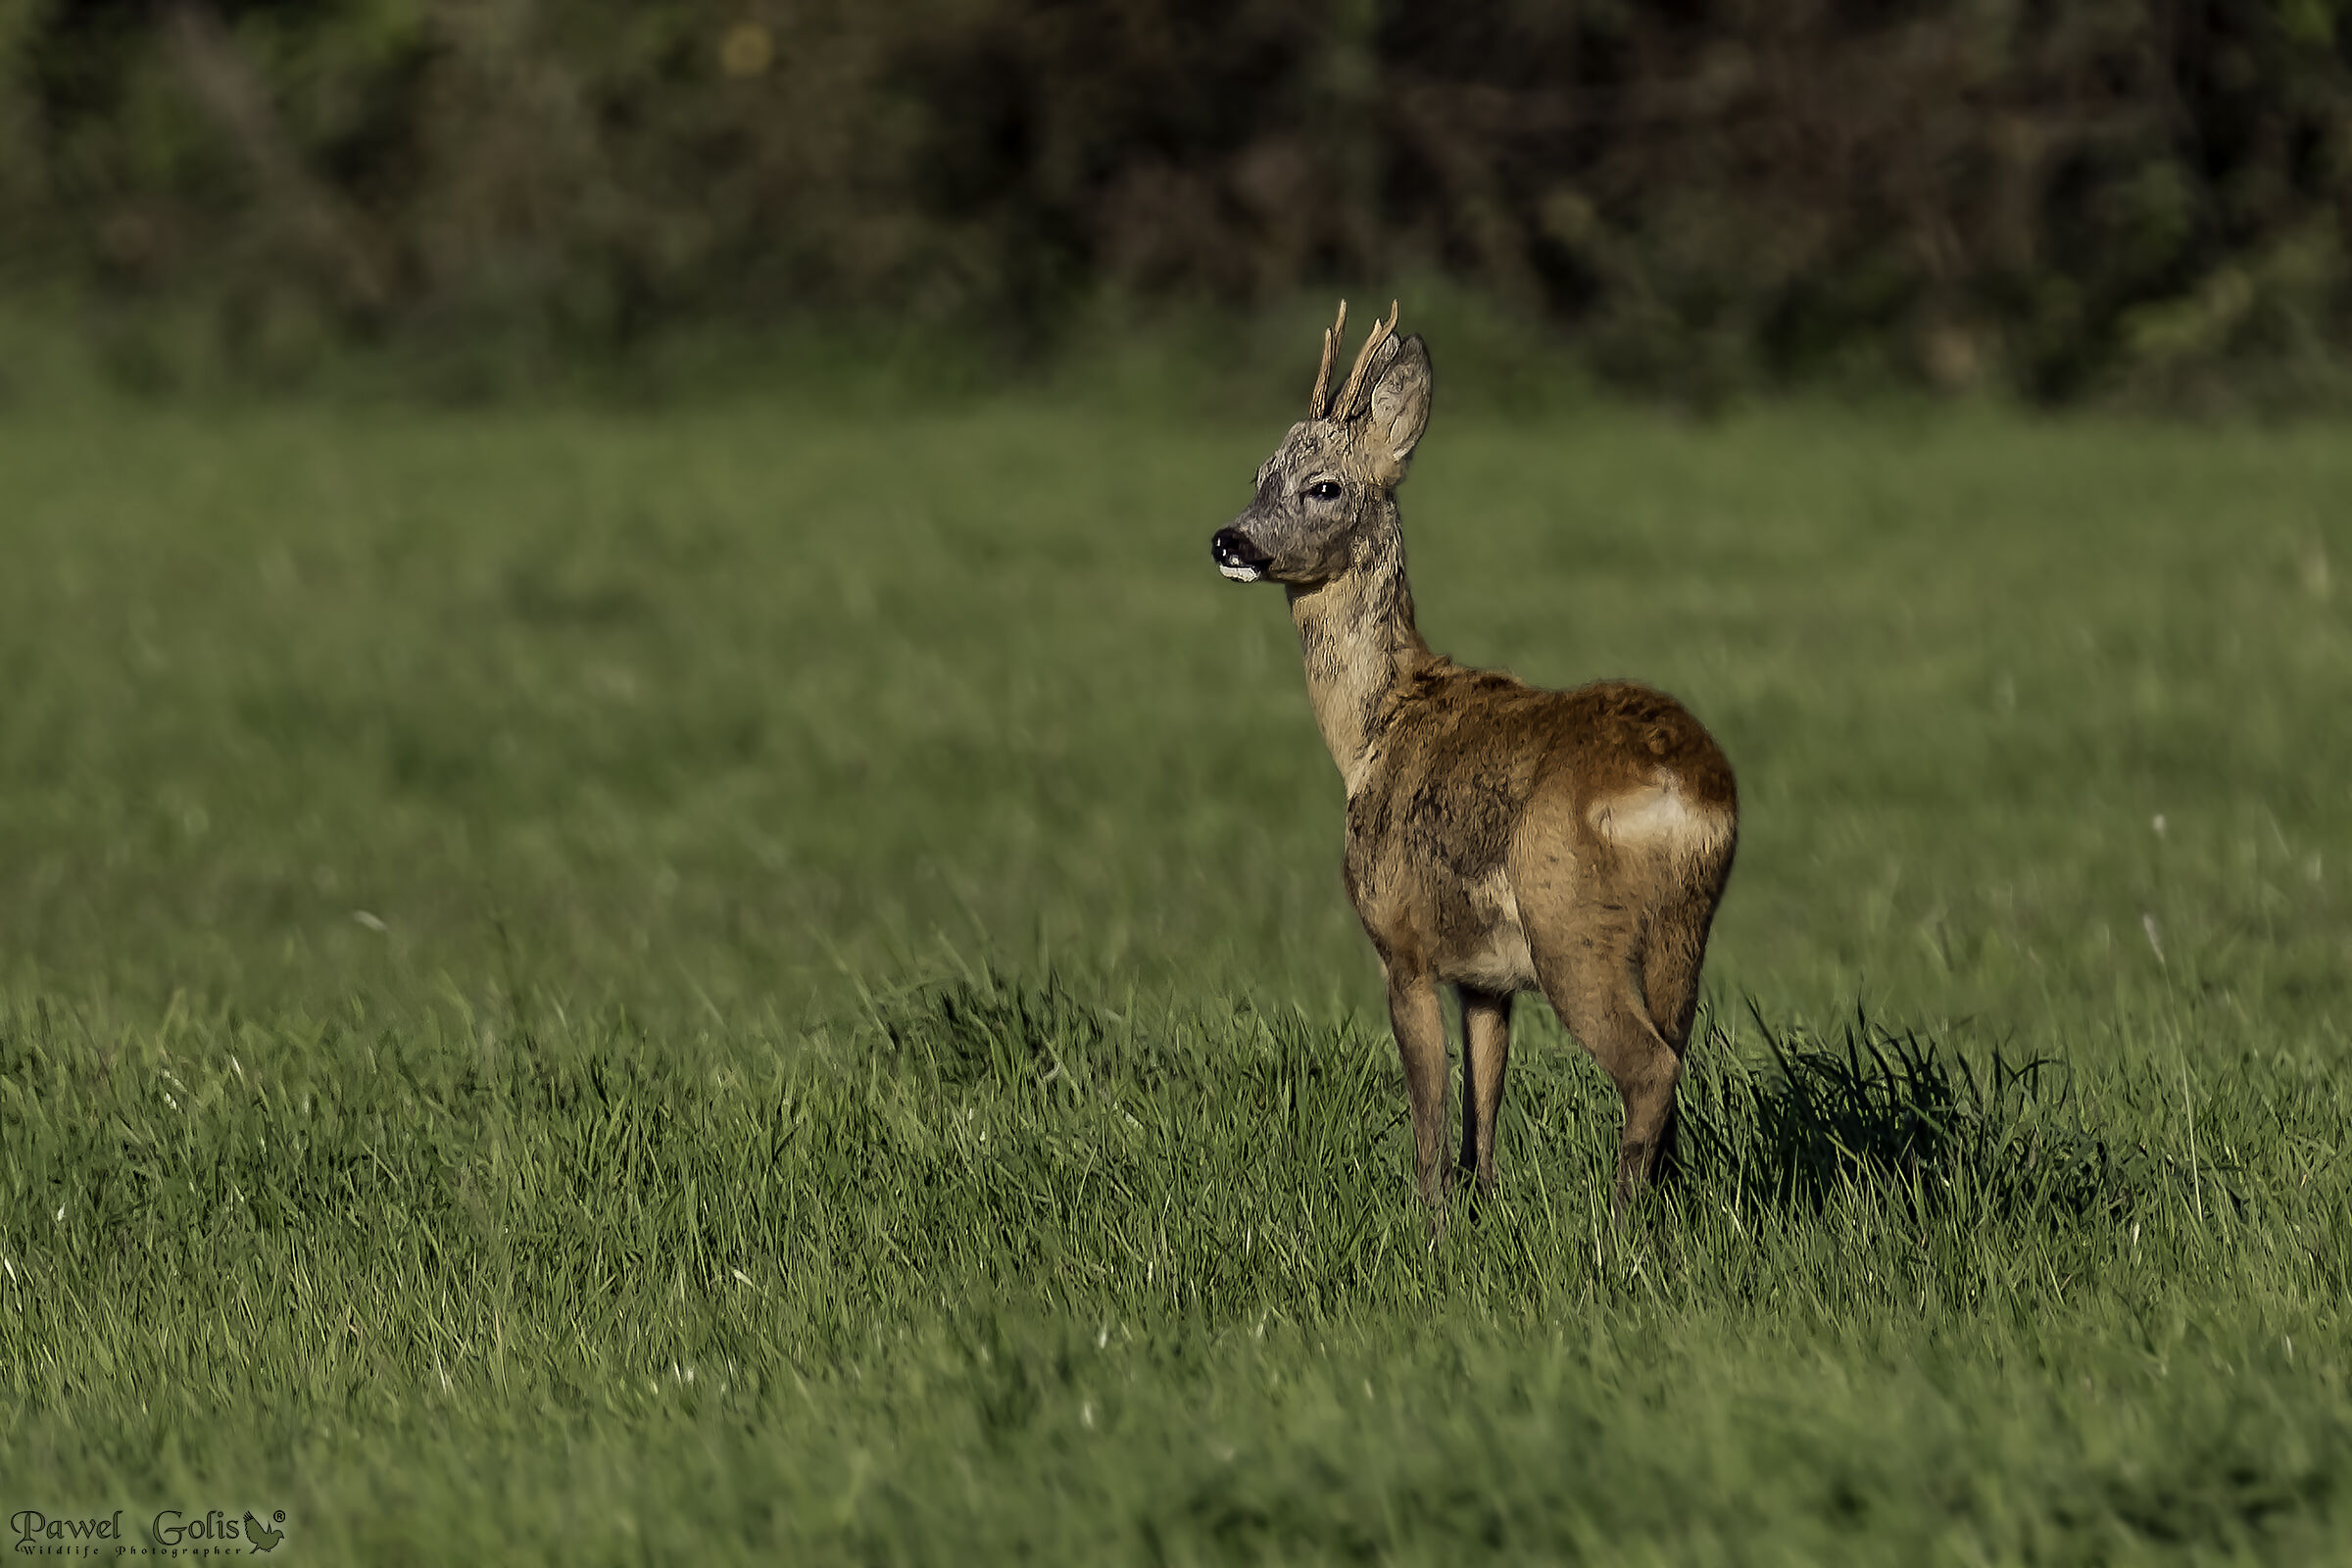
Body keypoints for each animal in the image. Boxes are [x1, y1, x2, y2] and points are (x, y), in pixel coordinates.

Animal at [1209, 301, 1738, 1222]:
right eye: (1259, 474)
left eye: (1324, 486)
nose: (1229, 540)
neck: (1374, 730)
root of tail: (1687, 789)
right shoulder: (1487, 978)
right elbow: (1480, 1117)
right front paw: (1482, 1213)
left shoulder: (1403, 942)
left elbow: (1428, 1118)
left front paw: (1428, 1228)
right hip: (1685, 930)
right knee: (1675, 1059)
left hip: (1572, 927)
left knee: (1649, 1069)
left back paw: (1619, 1227)